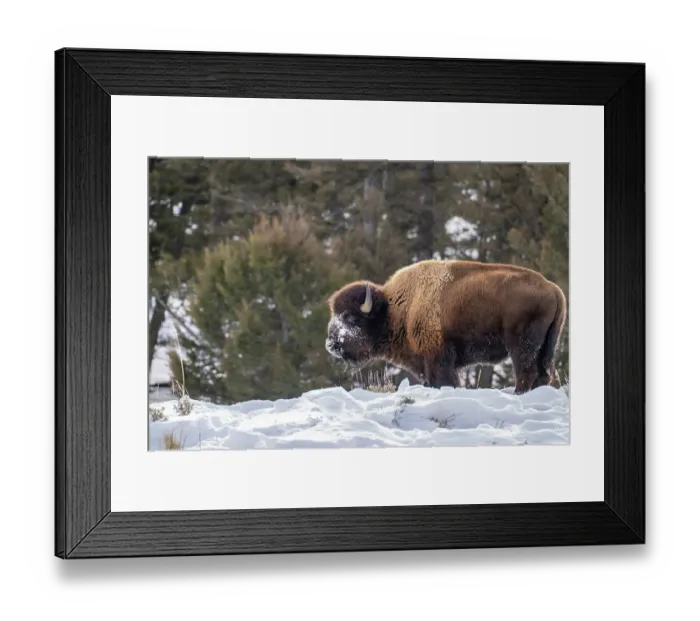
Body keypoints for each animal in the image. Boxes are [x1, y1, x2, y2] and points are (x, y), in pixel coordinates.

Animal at [325, 259, 567, 394]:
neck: (396, 308)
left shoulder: (437, 357)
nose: (331, 344)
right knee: (543, 373)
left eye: (351, 318)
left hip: (521, 346)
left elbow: (444, 380)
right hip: (547, 346)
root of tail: (553, 288)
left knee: (526, 372)